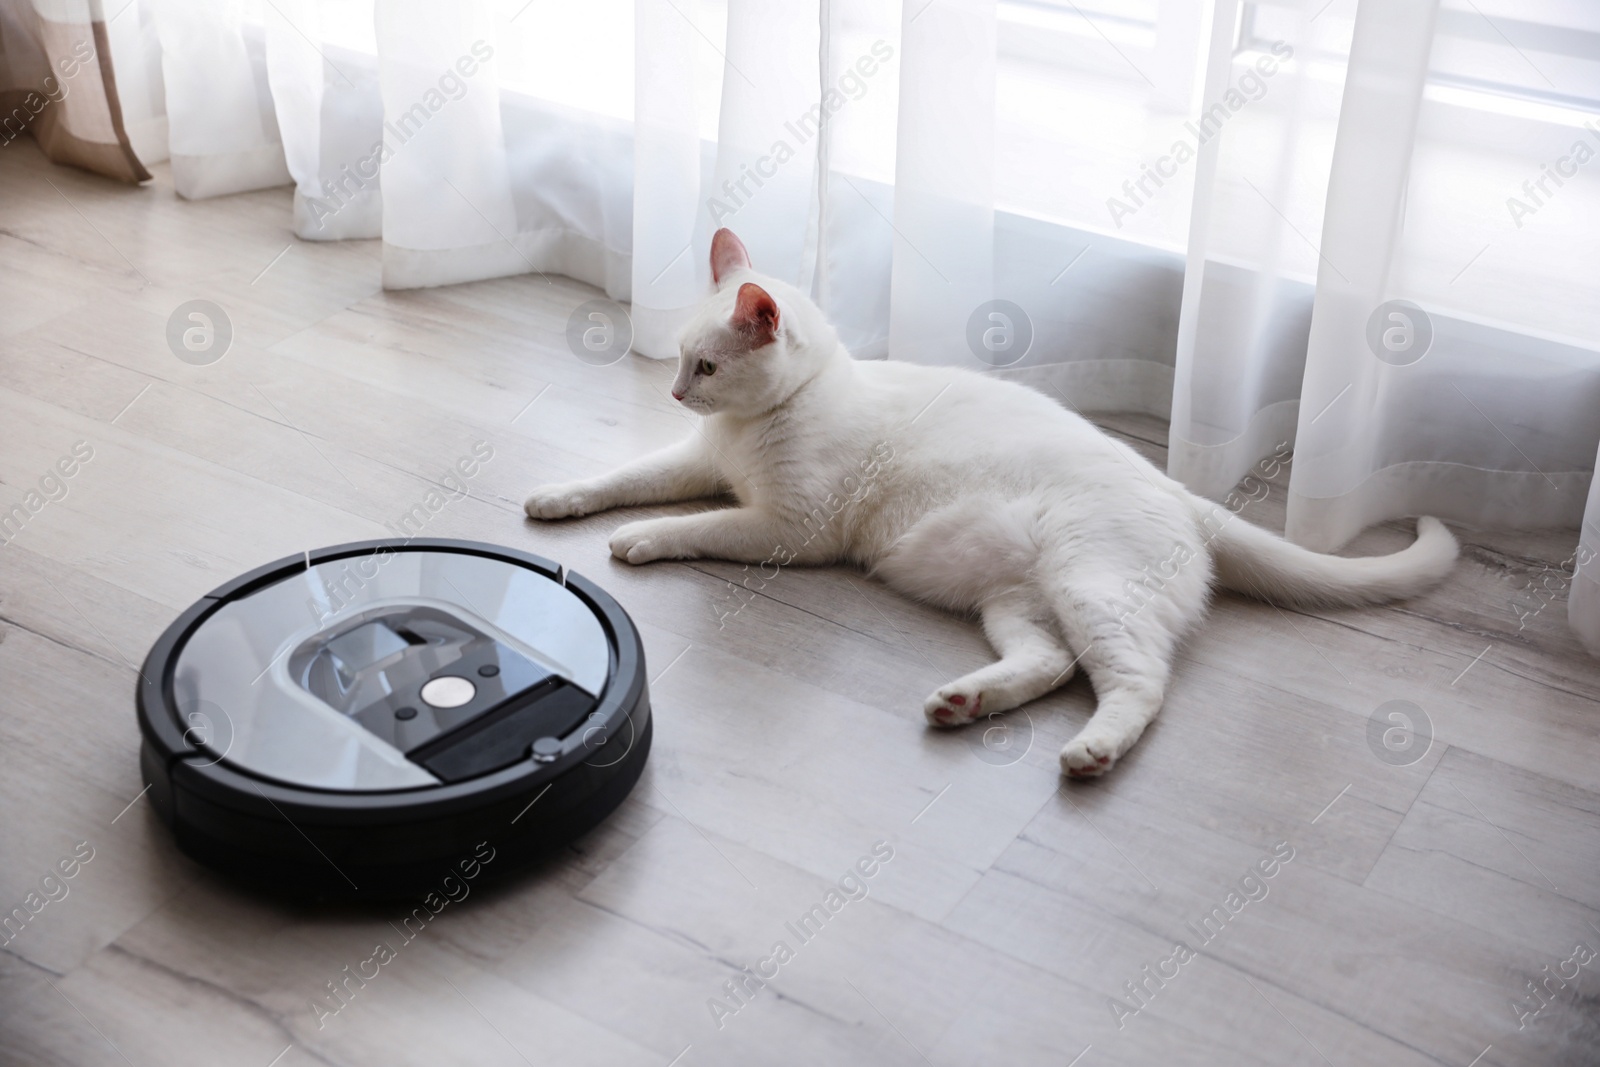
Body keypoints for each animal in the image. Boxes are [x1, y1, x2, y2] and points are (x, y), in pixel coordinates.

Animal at [528, 230, 1465, 777]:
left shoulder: (788, 527)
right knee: (1053, 665)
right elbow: (621, 475)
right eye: (683, 359)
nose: (677, 391)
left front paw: (641, 539)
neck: (745, 433)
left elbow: (696, 523)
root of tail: (1178, 491)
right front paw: (558, 496)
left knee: (1138, 682)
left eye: (708, 366)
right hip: (1018, 603)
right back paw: (965, 702)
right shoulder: (694, 461)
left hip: (1090, 586)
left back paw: (1091, 749)